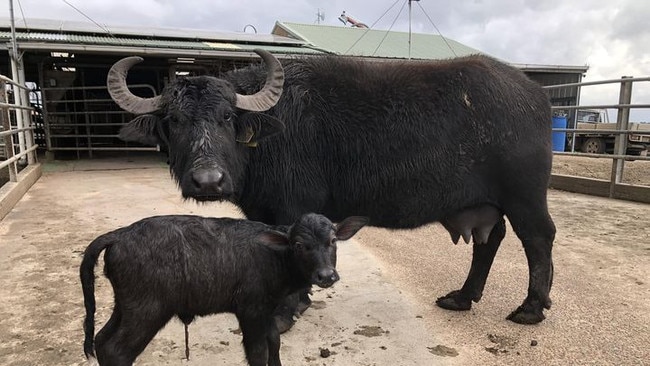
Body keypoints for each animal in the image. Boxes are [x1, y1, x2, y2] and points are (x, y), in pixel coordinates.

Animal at [78, 213, 368, 364]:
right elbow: (257, 351)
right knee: (117, 350)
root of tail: (119, 235)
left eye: (333, 240)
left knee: (101, 339)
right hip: (147, 310)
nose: (326, 276)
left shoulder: (267, 310)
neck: (273, 256)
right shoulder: (250, 311)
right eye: (298, 245)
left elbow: (274, 342)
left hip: (126, 305)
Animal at [106, 48, 552, 326]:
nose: (208, 181)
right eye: (175, 121)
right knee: (490, 241)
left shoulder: (292, 209)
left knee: (538, 238)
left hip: (525, 197)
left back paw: (531, 308)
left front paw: (287, 311)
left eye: (227, 118)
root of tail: (533, 94)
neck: (271, 133)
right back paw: (462, 297)